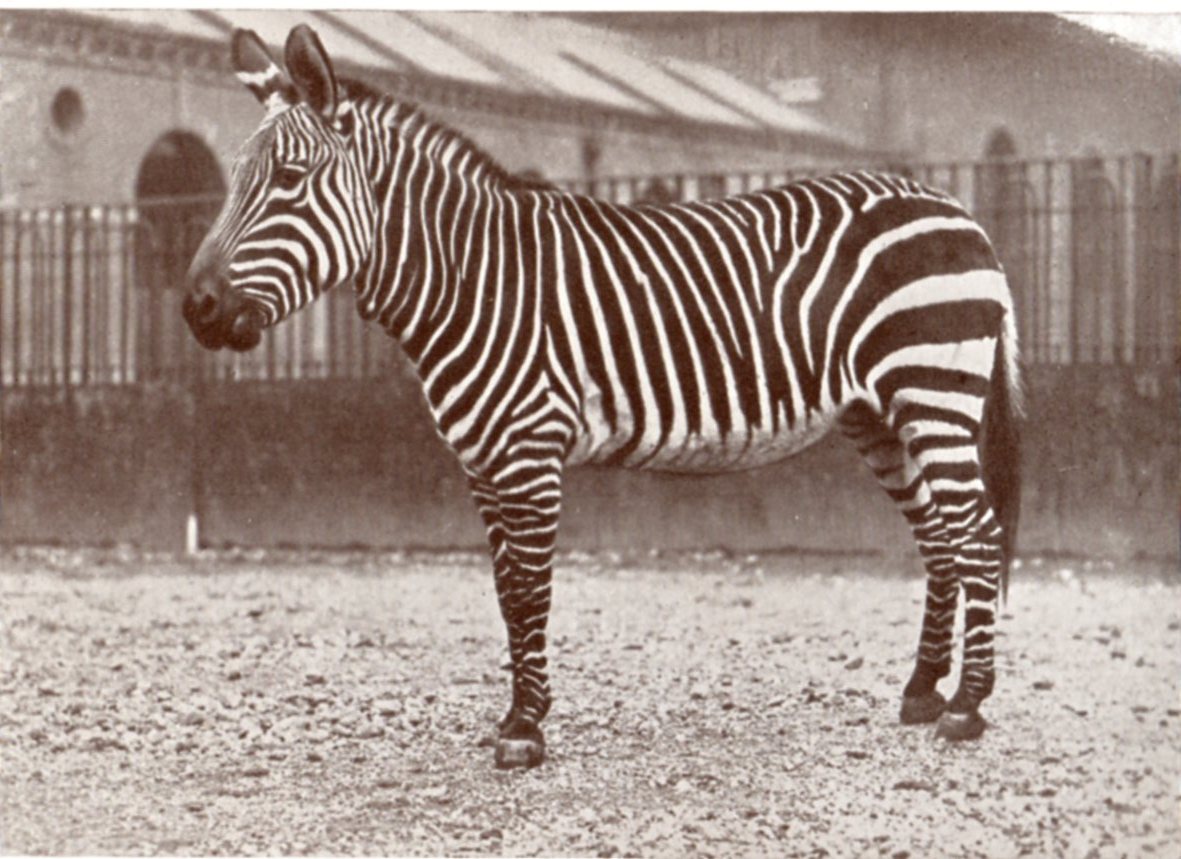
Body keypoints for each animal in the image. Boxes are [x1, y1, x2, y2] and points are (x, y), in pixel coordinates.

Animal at [184, 25, 1023, 770]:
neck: (473, 278)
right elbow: (505, 589)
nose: (195, 307)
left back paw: (966, 706)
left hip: (931, 392)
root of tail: (957, 209)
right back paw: (922, 691)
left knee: (975, 532)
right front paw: (516, 715)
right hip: (878, 414)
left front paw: (524, 731)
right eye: (234, 180)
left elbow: (529, 591)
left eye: (289, 181)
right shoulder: (482, 460)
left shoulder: (527, 451)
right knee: (939, 536)